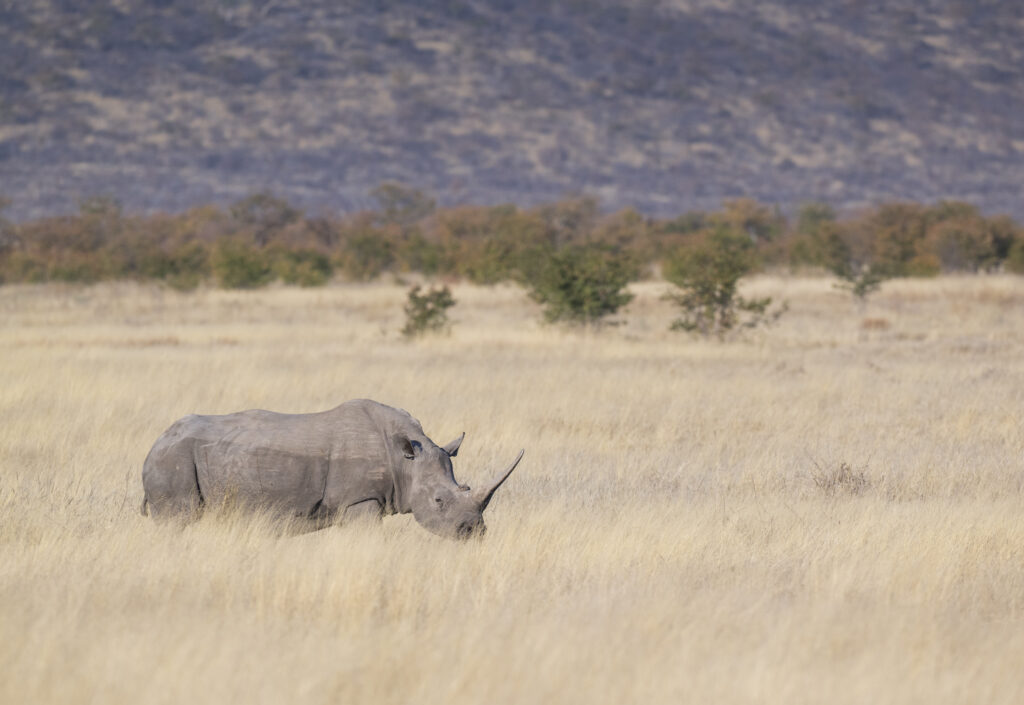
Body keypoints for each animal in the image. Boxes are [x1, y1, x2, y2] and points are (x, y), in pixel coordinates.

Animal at [141, 399, 523, 539]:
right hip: (173, 460)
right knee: (177, 519)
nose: (473, 532)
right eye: (439, 501)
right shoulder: (360, 499)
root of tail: (156, 441)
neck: (405, 460)